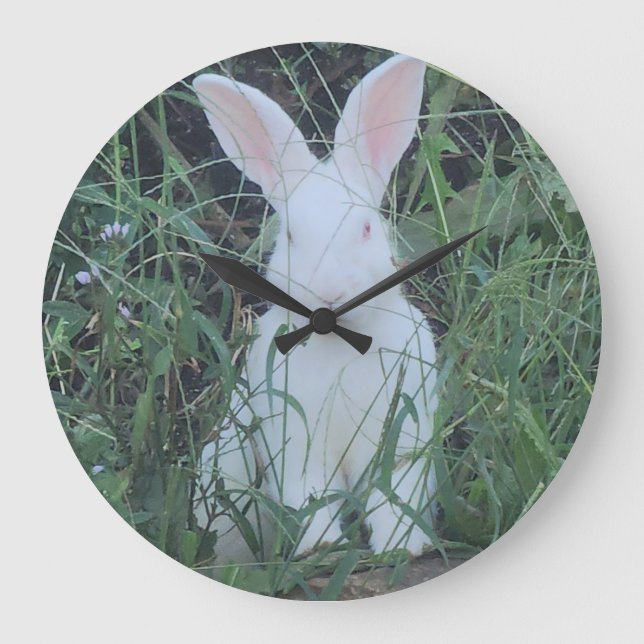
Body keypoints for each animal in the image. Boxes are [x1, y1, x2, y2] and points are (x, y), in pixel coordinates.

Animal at [192, 54, 439, 564]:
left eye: (366, 228)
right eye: (289, 235)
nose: (329, 290)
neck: (342, 338)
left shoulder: (404, 434)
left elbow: (394, 495)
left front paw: (400, 549)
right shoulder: (295, 445)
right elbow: (311, 496)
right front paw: (321, 549)